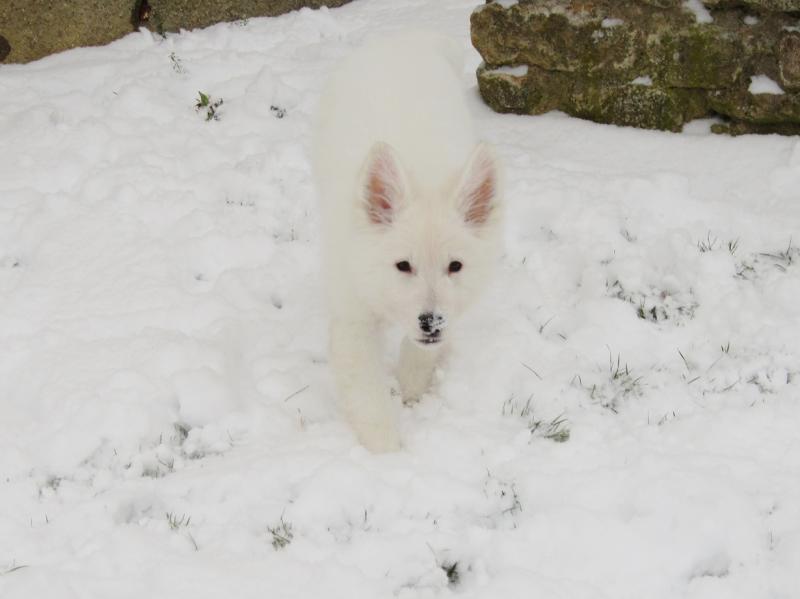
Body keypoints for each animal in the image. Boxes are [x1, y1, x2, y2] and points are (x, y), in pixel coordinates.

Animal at [310, 31, 500, 454]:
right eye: (403, 265)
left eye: (455, 266)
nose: (432, 322)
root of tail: (398, 41)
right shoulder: (353, 320)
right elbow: (367, 395)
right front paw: (387, 453)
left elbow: (419, 355)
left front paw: (412, 387)